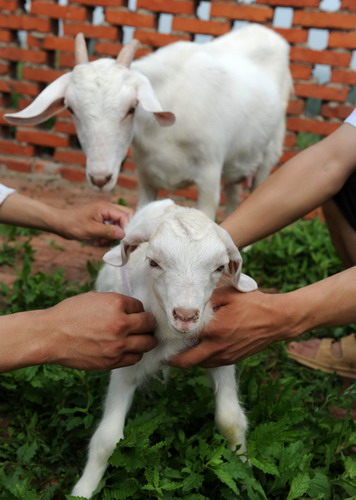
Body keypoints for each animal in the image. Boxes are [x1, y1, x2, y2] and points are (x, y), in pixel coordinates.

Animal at [4, 24, 292, 218]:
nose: (100, 178)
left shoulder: (209, 176)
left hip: (270, 150)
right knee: (234, 192)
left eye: (132, 108)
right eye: (71, 109)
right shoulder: (145, 178)